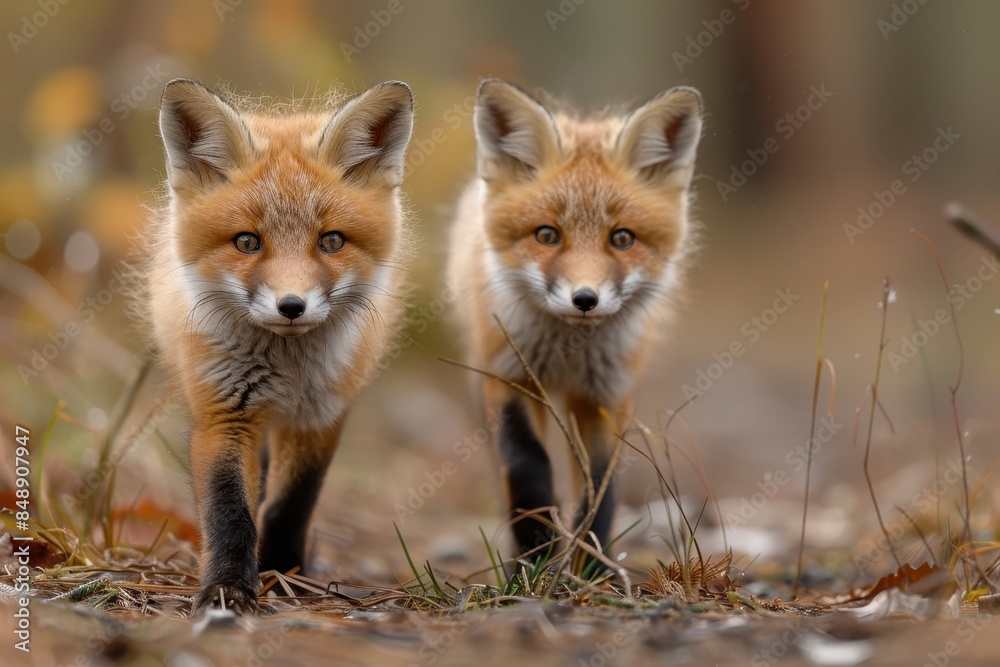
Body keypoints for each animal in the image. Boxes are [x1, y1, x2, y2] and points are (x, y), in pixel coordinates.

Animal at [141, 78, 414, 614]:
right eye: (247, 242)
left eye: (331, 241)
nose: (292, 306)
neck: (288, 371)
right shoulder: (224, 412)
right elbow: (229, 510)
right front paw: (228, 587)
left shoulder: (321, 417)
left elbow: (291, 504)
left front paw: (285, 571)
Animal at [447, 79, 703, 559]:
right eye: (547, 235)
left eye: (622, 239)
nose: (585, 299)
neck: (568, 352)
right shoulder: (508, 375)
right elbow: (526, 465)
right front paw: (535, 554)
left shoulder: (606, 393)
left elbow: (599, 484)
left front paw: (591, 564)